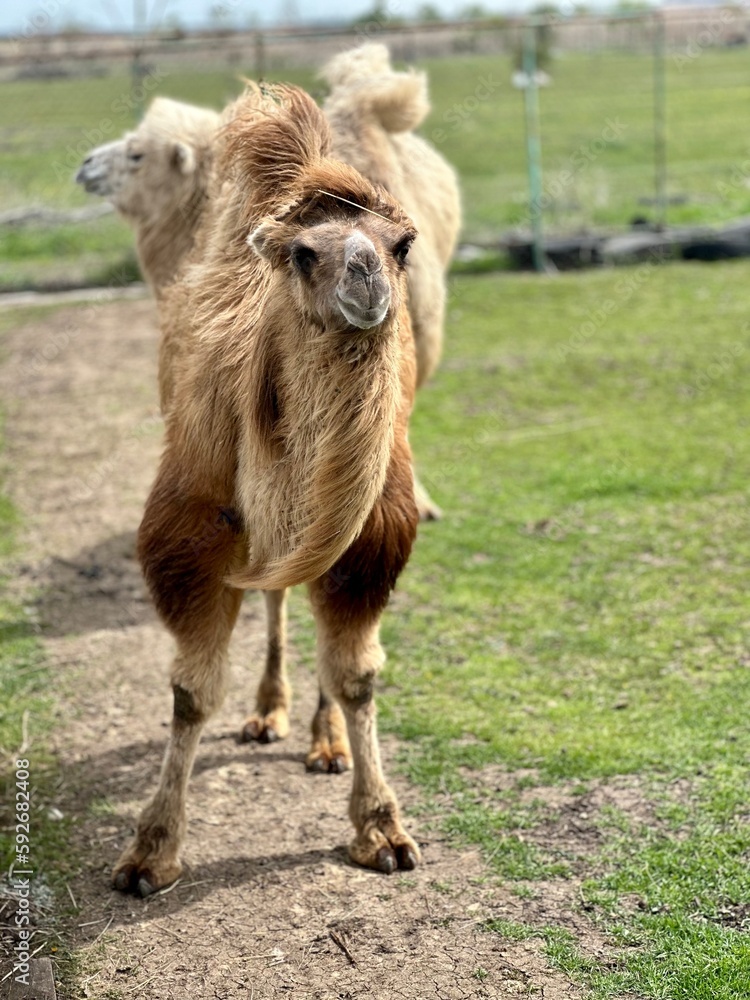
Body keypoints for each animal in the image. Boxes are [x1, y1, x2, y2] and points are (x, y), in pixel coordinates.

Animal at [112, 83, 422, 896]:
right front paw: (149, 852)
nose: (366, 279)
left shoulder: (371, 529)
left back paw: (323, 741)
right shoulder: (190, 523)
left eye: (401, 245)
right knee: (277, 597)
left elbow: (356, 673)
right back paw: (269, 712)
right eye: (306, 254)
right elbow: (191, 691)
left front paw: (382, 830)